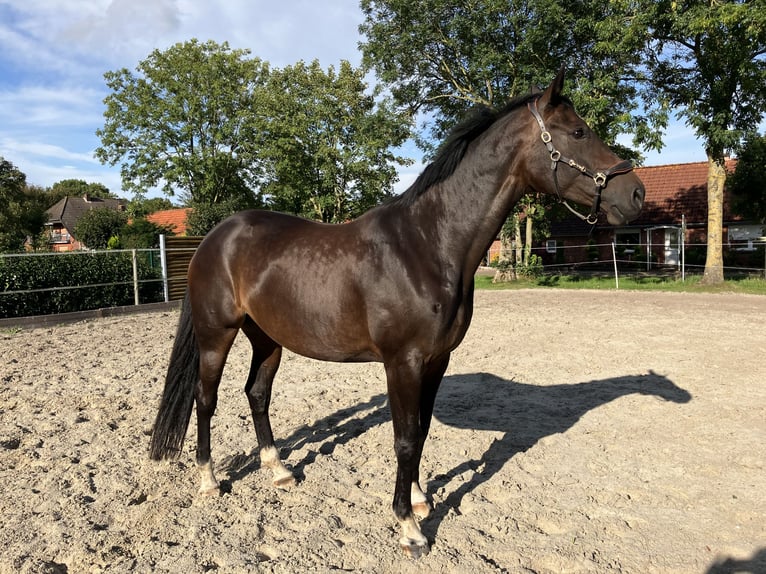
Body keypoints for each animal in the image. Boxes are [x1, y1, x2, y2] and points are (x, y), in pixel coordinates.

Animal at [147, 70, 644, 560]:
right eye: (578, 132)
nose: (635, 193)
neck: (426, 246)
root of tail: (215, 237)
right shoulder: (402, 362)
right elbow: (404, 438)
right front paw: (409, 528)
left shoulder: (437, 360)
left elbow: (420, 431)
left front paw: (422, 500)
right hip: (217, 334)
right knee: (205, 399)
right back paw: (209, 480)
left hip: (267, 339)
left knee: (257, 393)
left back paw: (280, 471)